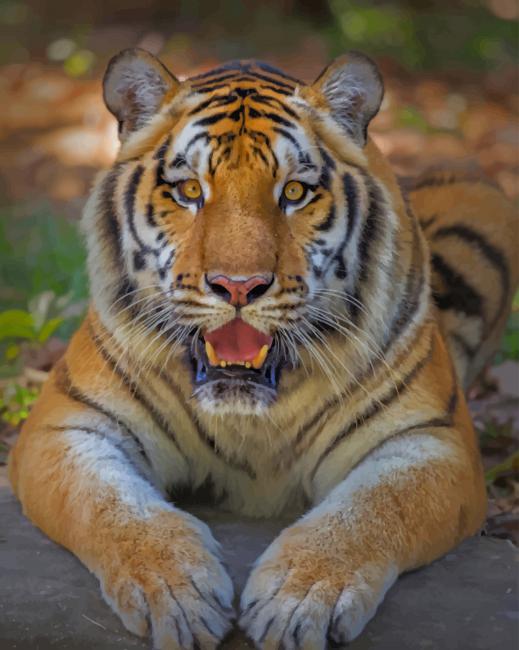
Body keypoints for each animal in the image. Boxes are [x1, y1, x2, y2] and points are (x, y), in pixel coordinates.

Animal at [8, 48, 518, 650]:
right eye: (189, 191)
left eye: (294, 193)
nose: (238, 286)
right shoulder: (66, 427)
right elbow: (112, 508)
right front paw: (177, 593)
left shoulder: (431, 441)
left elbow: (372, 511)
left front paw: (299, 600)